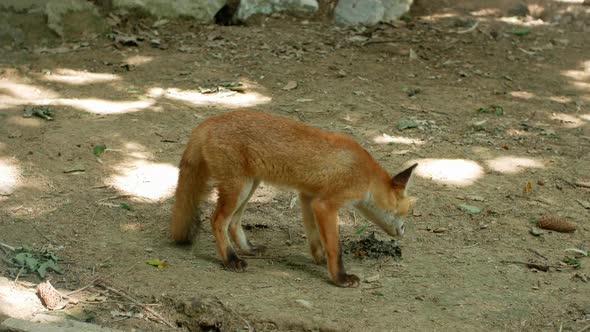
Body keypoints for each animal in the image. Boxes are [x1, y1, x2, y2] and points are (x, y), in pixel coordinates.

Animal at [171, 110, 418, 286]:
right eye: (406, 212)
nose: (404, 231)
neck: (366, 177)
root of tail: (209, 121)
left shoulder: (308, 198)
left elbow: (315, 238)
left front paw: (320, 260)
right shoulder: (326, 204)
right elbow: (335, 247)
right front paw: (339, 277)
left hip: (249, 186)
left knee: (233, 224)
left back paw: (248, 249)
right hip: (238, 188)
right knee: (217, 221)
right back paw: (230, 260)